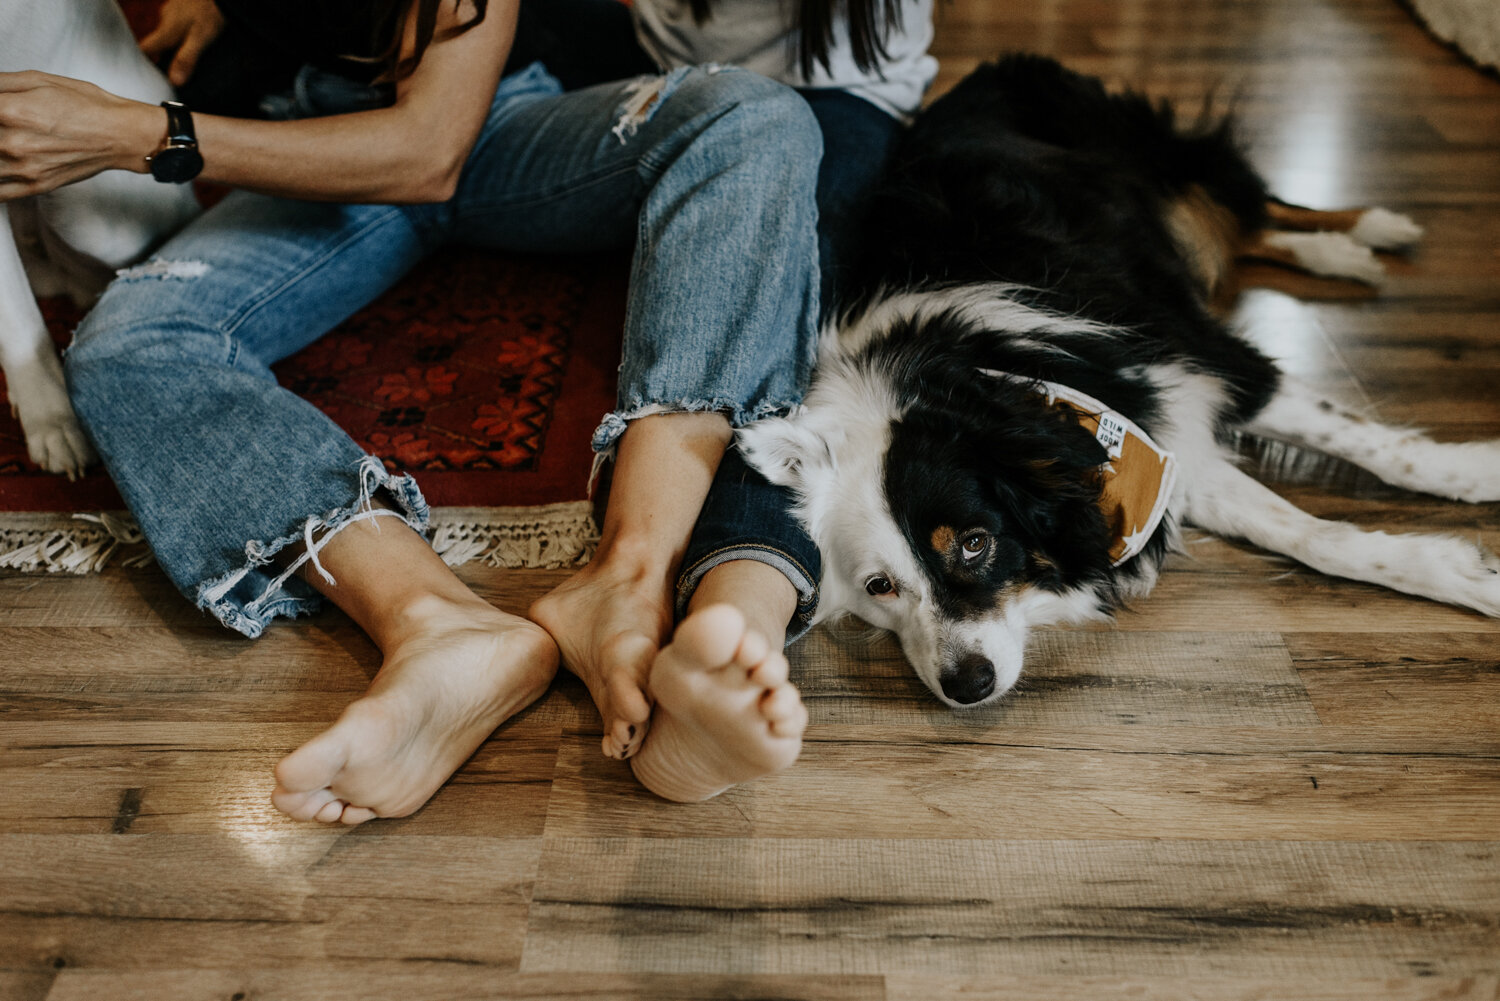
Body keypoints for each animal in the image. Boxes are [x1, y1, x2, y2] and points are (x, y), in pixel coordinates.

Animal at [741, 54, 1500, 708]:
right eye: (880, 585)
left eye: (975, 543)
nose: (967, 684)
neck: (985, 379)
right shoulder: (1169, 450)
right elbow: (1314, 538)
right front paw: (1460, 570)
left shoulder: (1196, 370)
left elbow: (1385, 452)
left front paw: (1478, 474)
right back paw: (1340, 249)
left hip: (1161, 169)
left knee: (1247, 207)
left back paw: (1368, 231)